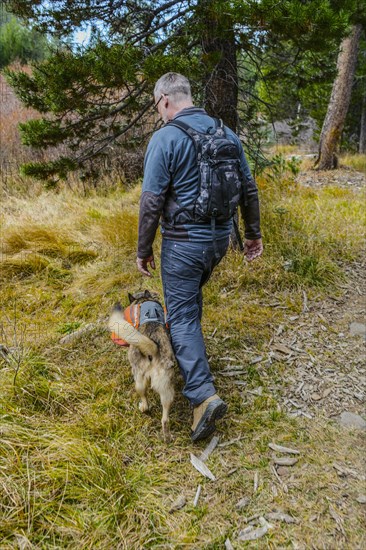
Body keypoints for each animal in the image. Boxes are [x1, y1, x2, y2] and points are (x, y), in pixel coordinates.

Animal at [108, 292, 175, 442]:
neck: (143, 301)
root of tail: (152, 350)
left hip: (140, 378)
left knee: (146, 402)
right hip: (163, 387)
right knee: (164, 418)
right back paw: (167, 436)